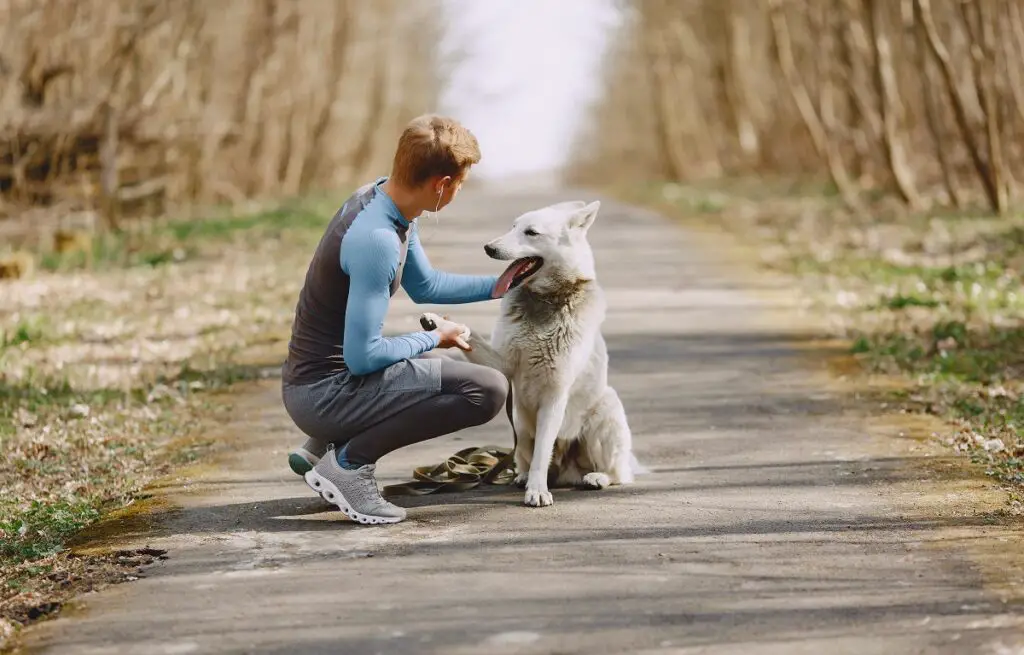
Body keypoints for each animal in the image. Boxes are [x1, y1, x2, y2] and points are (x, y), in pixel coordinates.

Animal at [419, 199, 634, 507]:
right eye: (513, 227)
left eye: (531, 232)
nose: (488, 247)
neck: (544, 300)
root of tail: (568, 470)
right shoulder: (504, 364)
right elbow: (471, 337)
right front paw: (440, 323)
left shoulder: (555, 393)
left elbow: (543, 452)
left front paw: (537, 491)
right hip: (520, 426)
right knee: (523, 458)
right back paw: (521, 476)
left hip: (606, 411)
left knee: (618, 472)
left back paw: (596, 478)